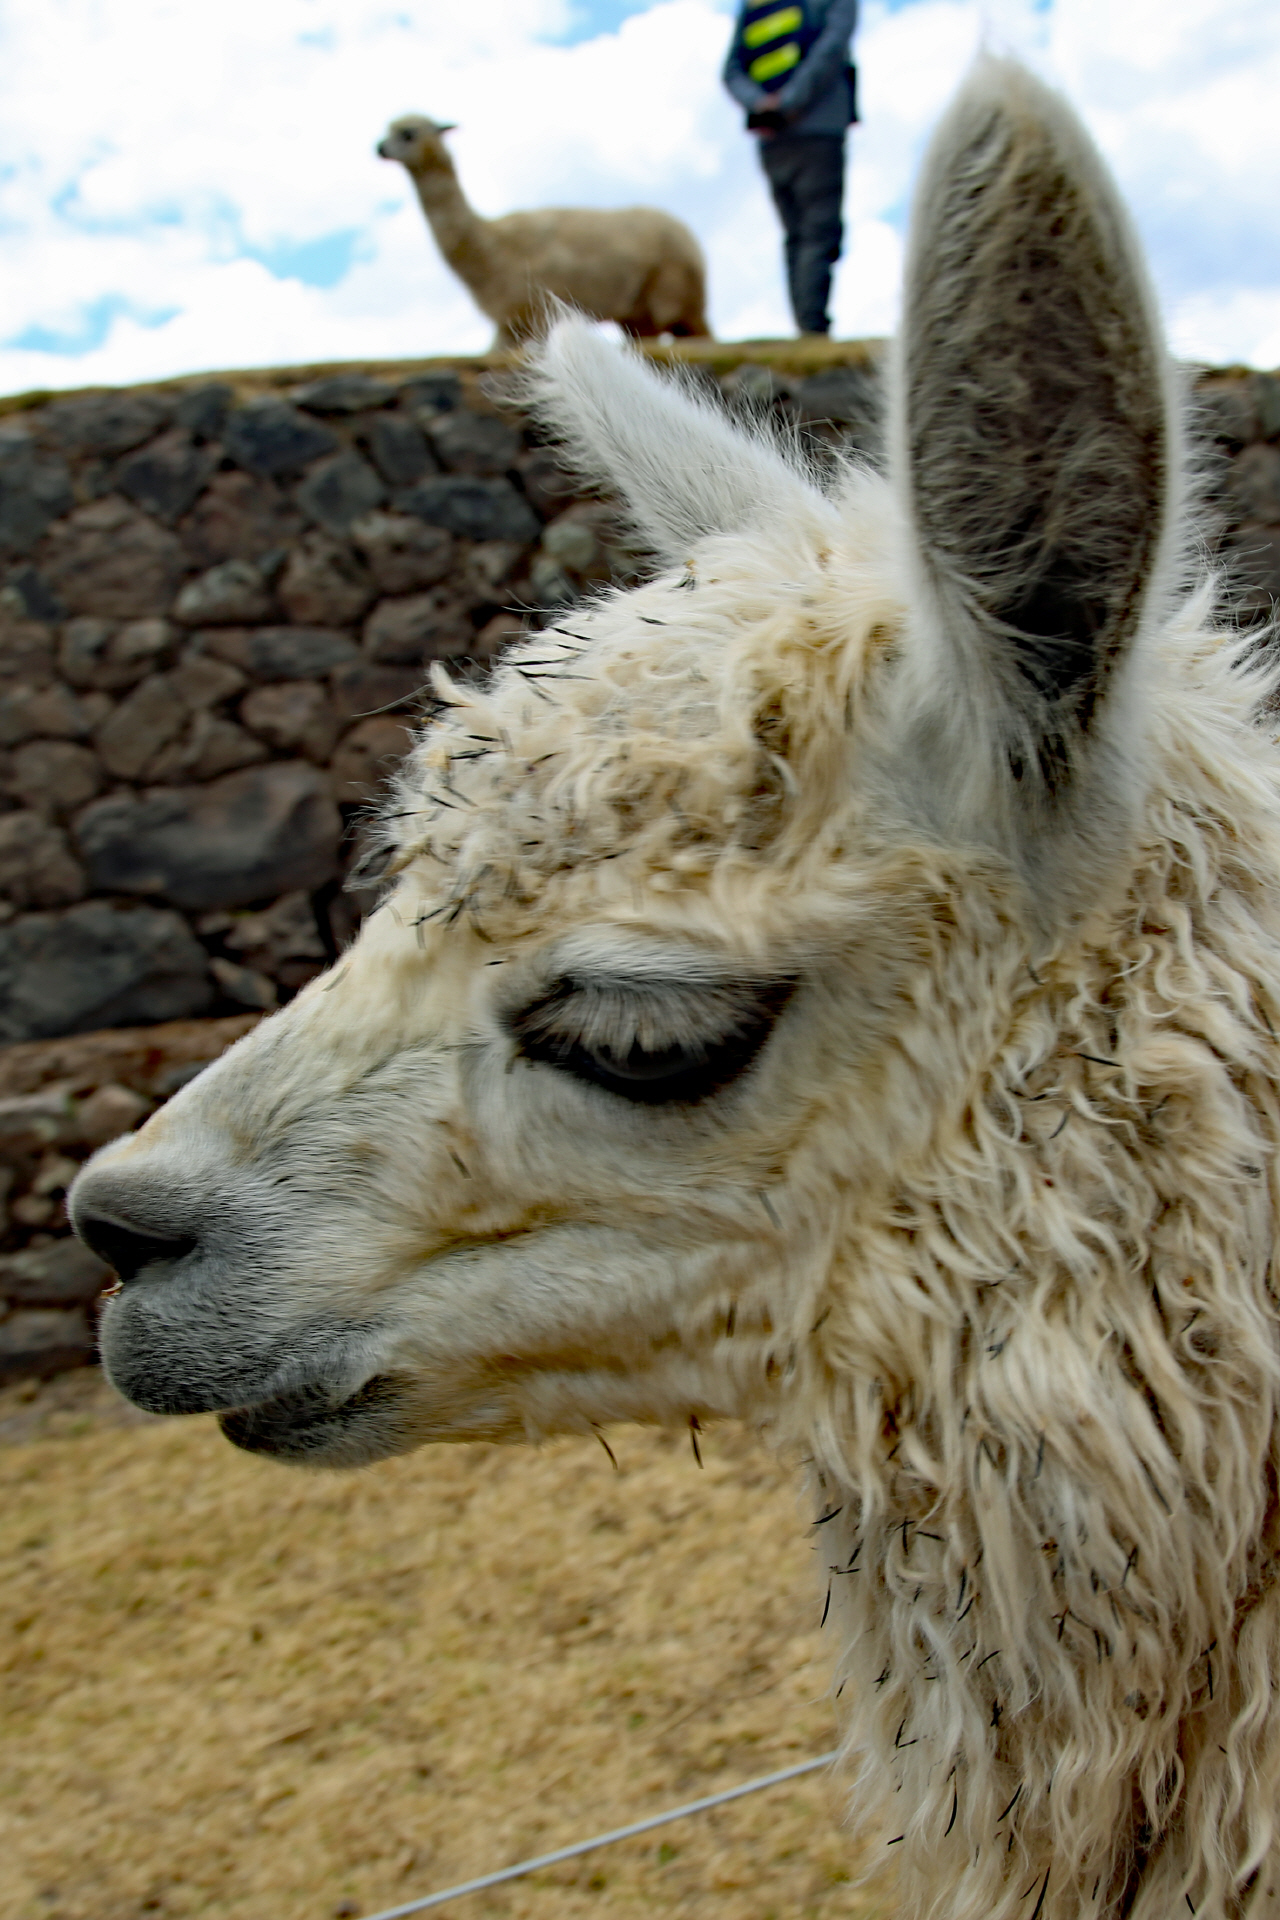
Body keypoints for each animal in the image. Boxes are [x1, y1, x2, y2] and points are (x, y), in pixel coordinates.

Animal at [378, 114, 711, 349]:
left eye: (409, 133)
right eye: (387, 130)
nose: (379, 148)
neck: (492, 248)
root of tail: (686, 231)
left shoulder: (534, 312)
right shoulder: (510, 321)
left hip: (673, 293)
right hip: (640, 310)